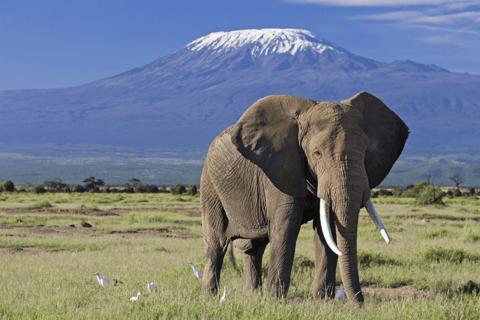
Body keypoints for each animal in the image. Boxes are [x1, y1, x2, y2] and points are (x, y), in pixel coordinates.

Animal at [199, 91, 408, 304]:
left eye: (366, 151)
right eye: (317, 153)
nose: (360, 305)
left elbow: (327, 232)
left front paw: (324, 302)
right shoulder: (280, 169)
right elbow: (286, 229)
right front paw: (275, 302)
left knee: (254, 248)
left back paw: (252, 297)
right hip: (209, 185)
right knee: (216, 243)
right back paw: (210, 298)